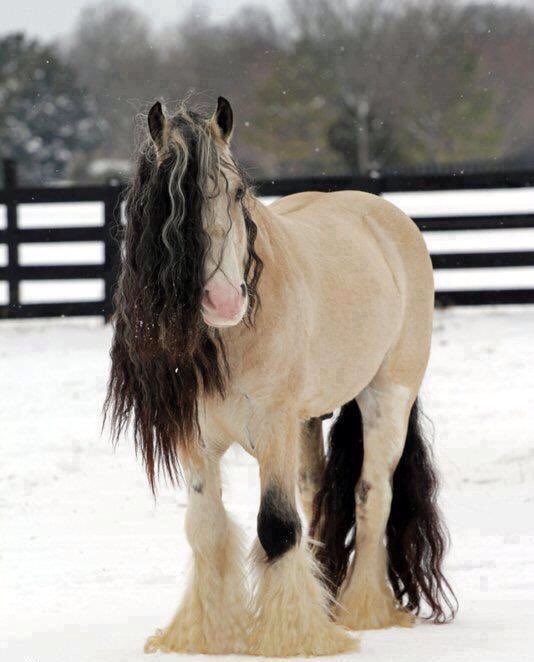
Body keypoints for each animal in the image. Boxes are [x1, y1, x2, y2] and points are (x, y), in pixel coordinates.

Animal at [105, 97, 457, 657]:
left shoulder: (272, 428)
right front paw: (207, 634)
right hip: (307, 422)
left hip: (387, 398)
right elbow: (206, 528)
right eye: (167, 201)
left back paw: (364, 610)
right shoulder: (196, 438)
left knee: (371, 496)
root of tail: (385, 217)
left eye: (237, 191)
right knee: (316, 493)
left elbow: (276, 528)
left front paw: (289, 637)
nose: (224, 301)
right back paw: (327, 597)